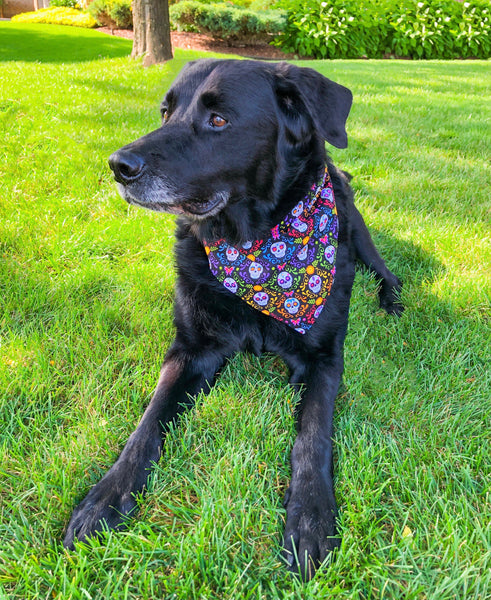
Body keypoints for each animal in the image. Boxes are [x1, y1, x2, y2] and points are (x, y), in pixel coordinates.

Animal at [62, 58, 404, 580]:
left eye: (219, 120)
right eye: (165, 112)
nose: (119, 165)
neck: (257, 248)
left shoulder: (325, 358)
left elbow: (312, 435)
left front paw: (311, 515)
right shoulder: (190, 351)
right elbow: (148, 424)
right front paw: (105, 497)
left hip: (363, 240)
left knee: (388, 272)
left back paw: (393, 300)